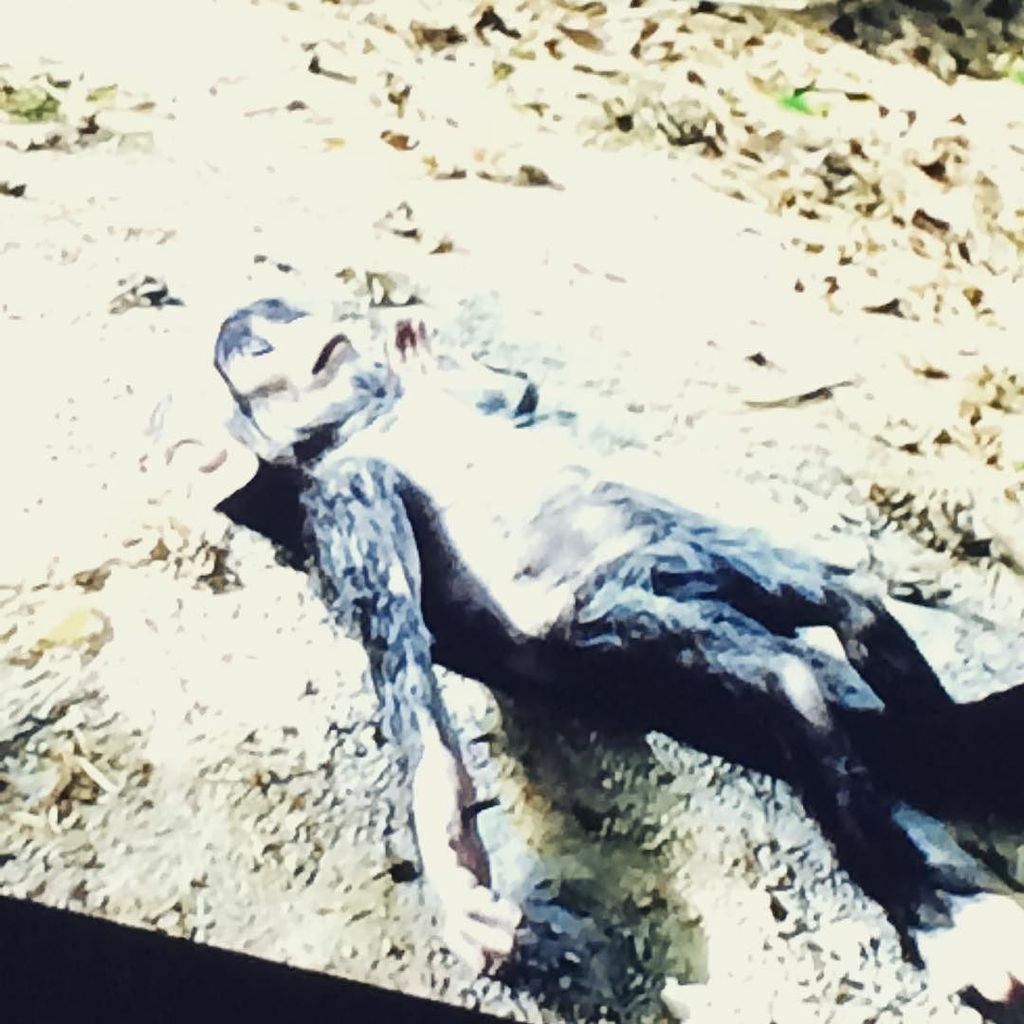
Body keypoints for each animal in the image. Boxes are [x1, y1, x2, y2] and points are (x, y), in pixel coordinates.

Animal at [190, 296, 1024, 1011]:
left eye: (287, 320)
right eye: (260, 347)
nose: (286, 332)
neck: (368, 420)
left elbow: (511, 395)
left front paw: (426, 352)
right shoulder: (349, 494)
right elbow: (397, 643)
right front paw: (455, 864)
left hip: (707, 571)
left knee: (848, 611)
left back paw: (956, 756)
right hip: (624, 622)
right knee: (785, 678)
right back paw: (941, 907)